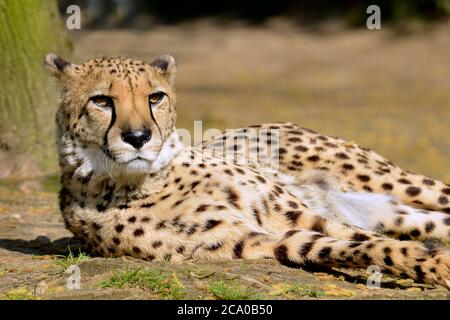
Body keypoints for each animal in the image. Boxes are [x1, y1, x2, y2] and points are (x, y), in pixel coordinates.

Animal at [44, 52, 448, 288]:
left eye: (155, 97)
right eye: (101, 101)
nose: (138, 137)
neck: (151, 179)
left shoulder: (294, 213)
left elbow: (366, 240)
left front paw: (436, 263)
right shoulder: (259, 240)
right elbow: (356, 247)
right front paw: (437, 264)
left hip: (394, 183)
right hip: (389, 211)